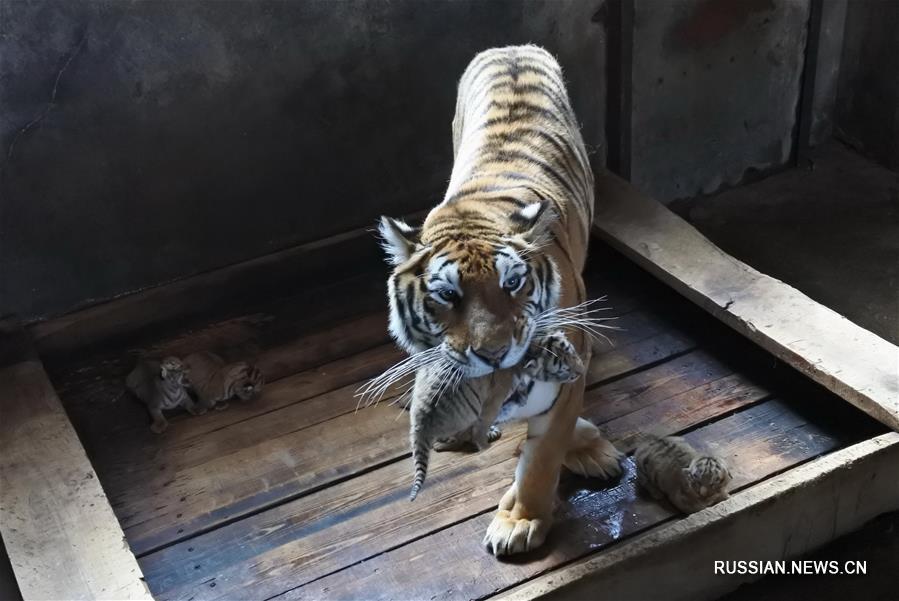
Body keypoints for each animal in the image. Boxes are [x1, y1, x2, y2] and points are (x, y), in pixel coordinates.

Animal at [376, 44, 624, 556]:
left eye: (513, 283)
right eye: (446, 294)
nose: (493, 354)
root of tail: (511, 48)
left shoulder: (566, 362)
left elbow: (542, 455)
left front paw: (521, 518)